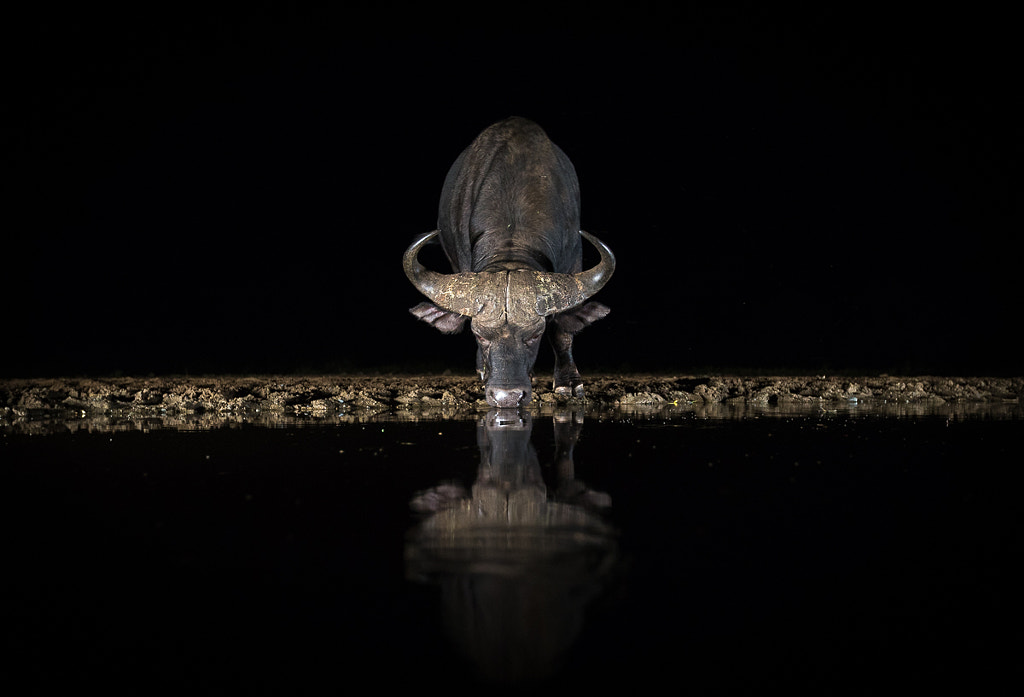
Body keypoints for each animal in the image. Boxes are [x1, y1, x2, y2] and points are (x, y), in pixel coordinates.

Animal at [404, 117, 615, 407]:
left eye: (535, 334)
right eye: (479, 335)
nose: (507, 396)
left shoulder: (574, 260)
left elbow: (562, 331)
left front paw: (569, 383)